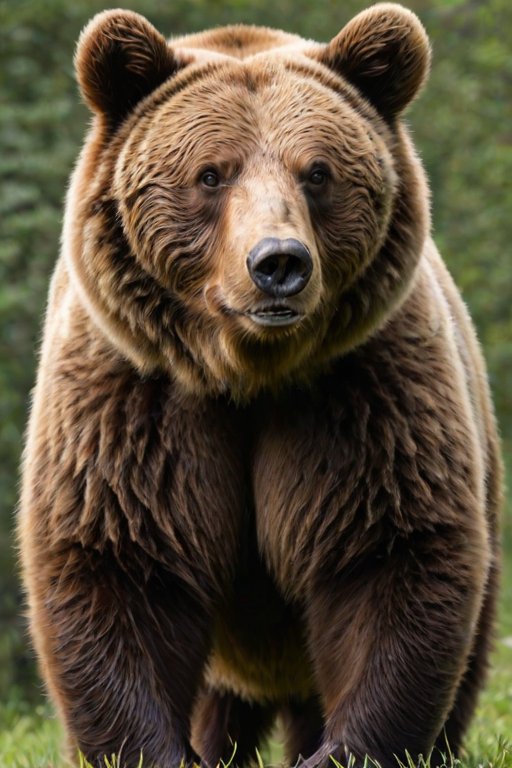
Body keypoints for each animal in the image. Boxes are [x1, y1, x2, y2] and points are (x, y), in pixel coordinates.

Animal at [18, 4, 502, 768]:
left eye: (318, 172)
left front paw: (344, 748)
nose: (278, 263)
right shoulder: (135, 406)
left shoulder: (364, 399)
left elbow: (388, 556)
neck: (248, 373)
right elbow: (117, 565)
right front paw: (155, 749)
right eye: (211, 174)